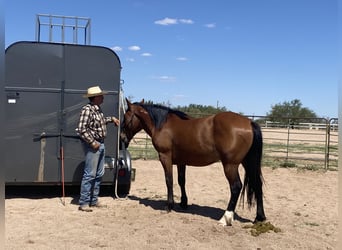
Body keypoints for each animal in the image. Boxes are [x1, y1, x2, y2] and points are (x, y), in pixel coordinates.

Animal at [121, 99, 268, 227]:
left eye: (125, 117)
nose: (122, 138)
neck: (162, 125)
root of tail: (249, 122)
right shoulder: (181, 161)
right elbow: (181, 181)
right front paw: (183, 203)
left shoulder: (165, 157)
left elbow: (169, 180)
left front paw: (169, 205)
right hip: (247, 162)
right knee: (257, 185)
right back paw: (259, 217)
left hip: (230, 165)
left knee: (236, 187)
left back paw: (225, 218)